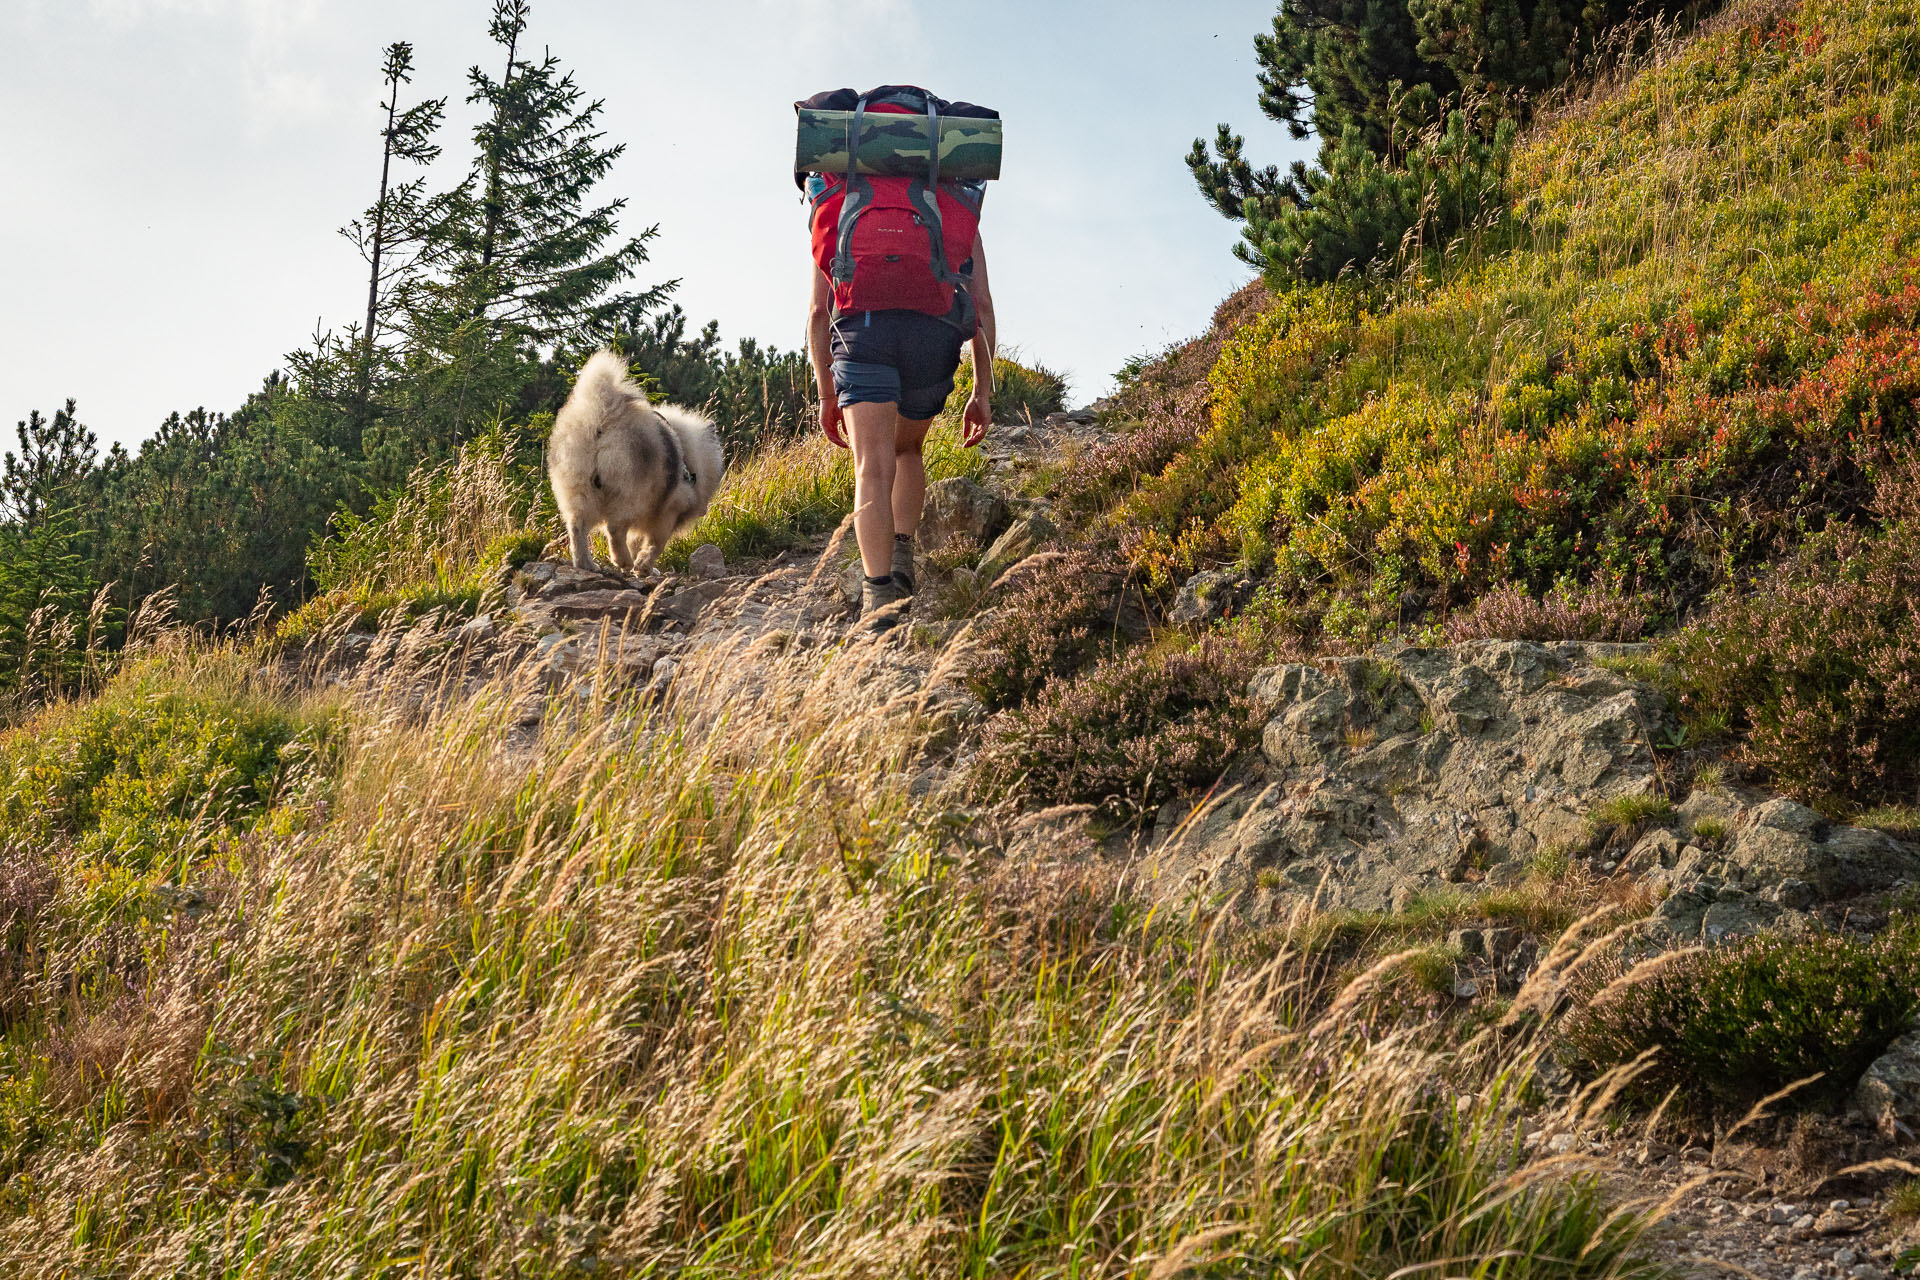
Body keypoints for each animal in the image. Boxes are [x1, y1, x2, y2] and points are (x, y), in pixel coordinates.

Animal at [549, 347, 725, 571]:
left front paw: (641, 566)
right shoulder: (669, 511)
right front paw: (643, 567)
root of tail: (604, 418)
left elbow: (637, 541)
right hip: (631, 494)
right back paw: (622, 561)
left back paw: (586, 564)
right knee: (614, 529)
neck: (687, 451)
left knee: (577, 528)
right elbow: (655, 544)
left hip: (580, 490)